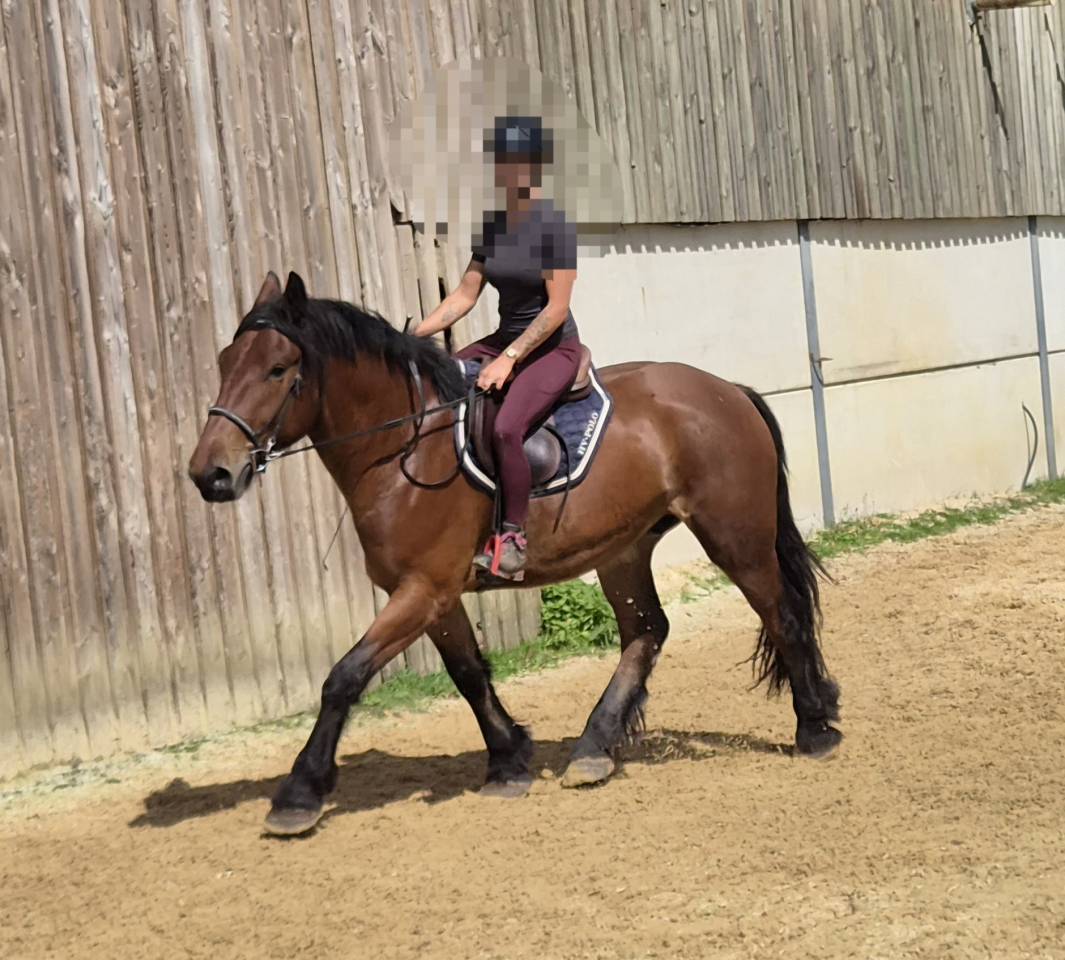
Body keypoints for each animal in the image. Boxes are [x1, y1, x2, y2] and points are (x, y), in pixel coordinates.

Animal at [188, 271, 841, 836]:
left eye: (278, 369)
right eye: (222, 363)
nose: (209, 474)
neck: (404, 447)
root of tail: (729, 390)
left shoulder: (422, 589)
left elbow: (343, 677)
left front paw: (299, 794)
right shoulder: (432, 592)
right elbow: (468, 673)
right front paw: (508, 760)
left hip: (734, 534)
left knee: (780, 614)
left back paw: (815, 728)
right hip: (624, 547)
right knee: (647, 631)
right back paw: (593, 749)